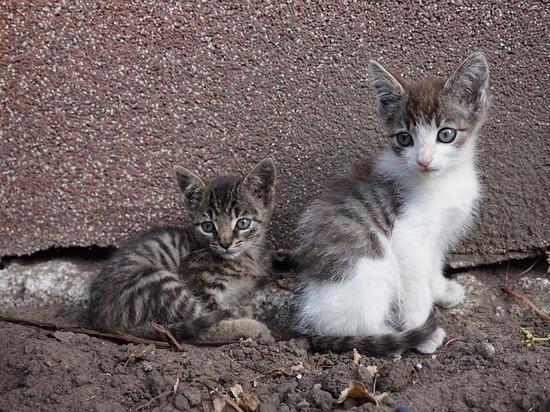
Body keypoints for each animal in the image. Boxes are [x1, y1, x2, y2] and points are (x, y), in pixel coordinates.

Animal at [88, 158, 278, 342]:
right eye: (208, 226)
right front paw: (242, 318)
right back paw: (254, 329)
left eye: (243, 223)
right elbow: (215, 315)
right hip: (158, 281)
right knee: (201, 328)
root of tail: (101, 321)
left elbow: (244, 305)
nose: (225, 243)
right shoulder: (199, 282)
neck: (246, 257)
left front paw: (244, 311)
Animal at [294, 50, 492, 354]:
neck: (444, 179)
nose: (424, 160)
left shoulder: (438, 234)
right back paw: (394, 339)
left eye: (446, 134)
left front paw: (442, 290)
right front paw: (423, 331)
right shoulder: (407, 238)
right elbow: (415, 286)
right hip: (369, 271)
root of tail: (314, 323)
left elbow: (433, 263)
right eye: (404, 138)